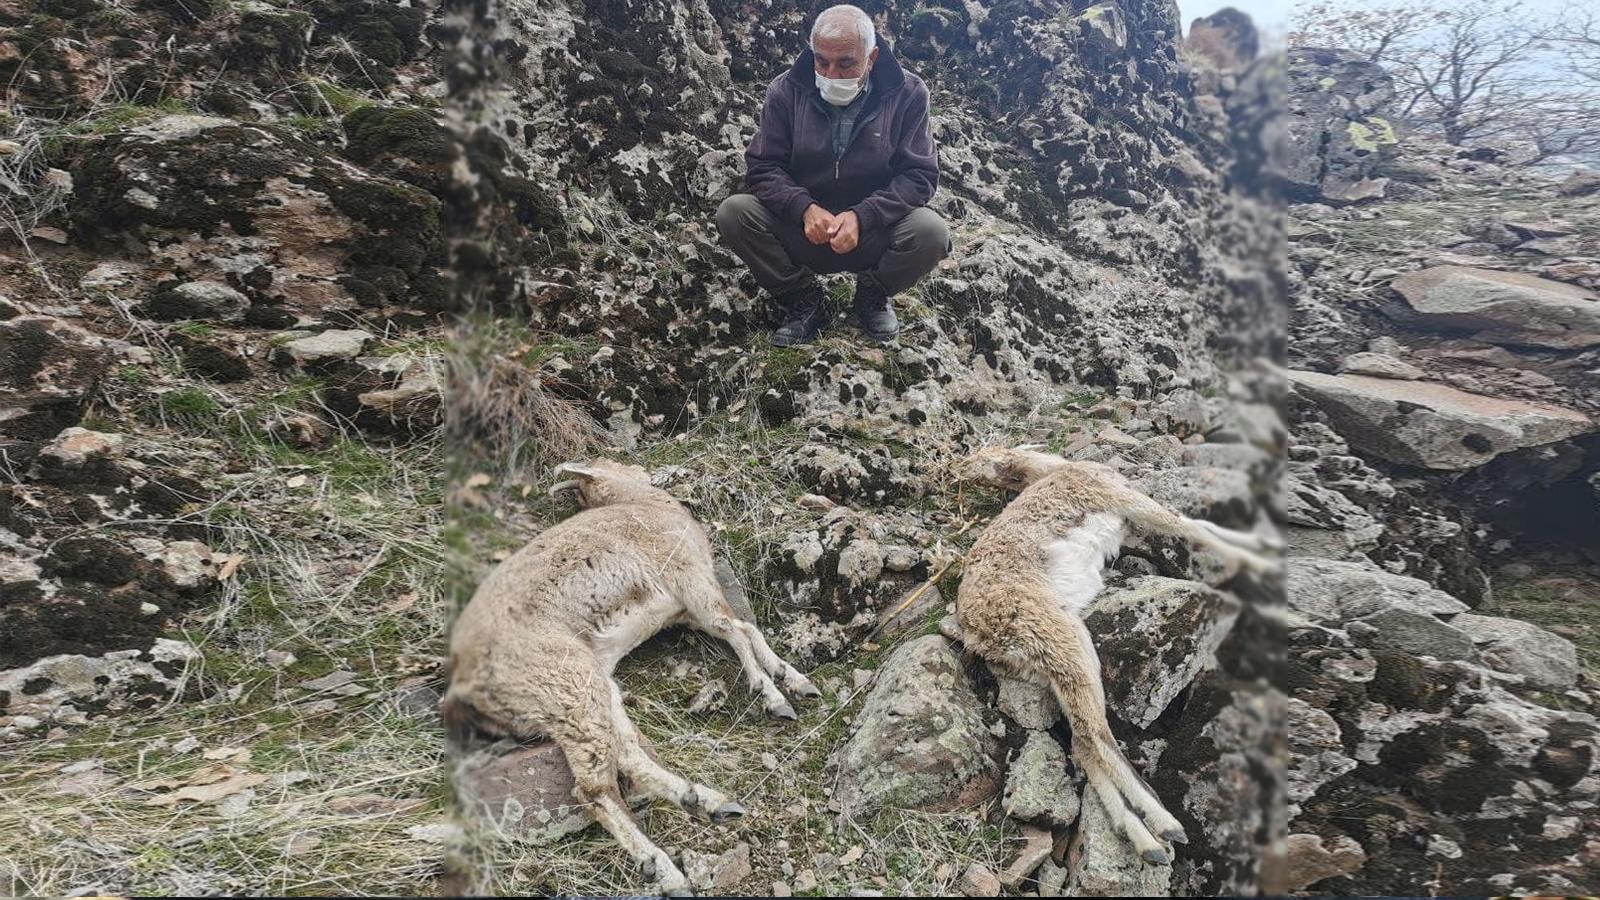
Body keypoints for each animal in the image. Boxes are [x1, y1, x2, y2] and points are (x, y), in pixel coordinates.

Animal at [435, 458, 812, 890]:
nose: (643, 469)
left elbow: (740, 631)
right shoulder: (689, 578)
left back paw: (706, 803)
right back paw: (664, 867)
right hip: (567, 683)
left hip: (589, 690)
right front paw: (774, 694)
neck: (644, 504)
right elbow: (737, 630)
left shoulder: (684, 611)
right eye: (610, 464)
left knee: (627, 756)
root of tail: (466, 684)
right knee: (594, 788)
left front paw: (792, 677)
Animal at [953, 445, 1280, 864]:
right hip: (1065, 642)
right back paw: (1164, 827)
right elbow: (1189, 526)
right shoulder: (1127, 501)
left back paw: (1142, 838)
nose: (968, 468)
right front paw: (1266, 563)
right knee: (1097, 736)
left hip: (1063, 662)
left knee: (1083, 742)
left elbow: (1195, 523)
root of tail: (978, 634)